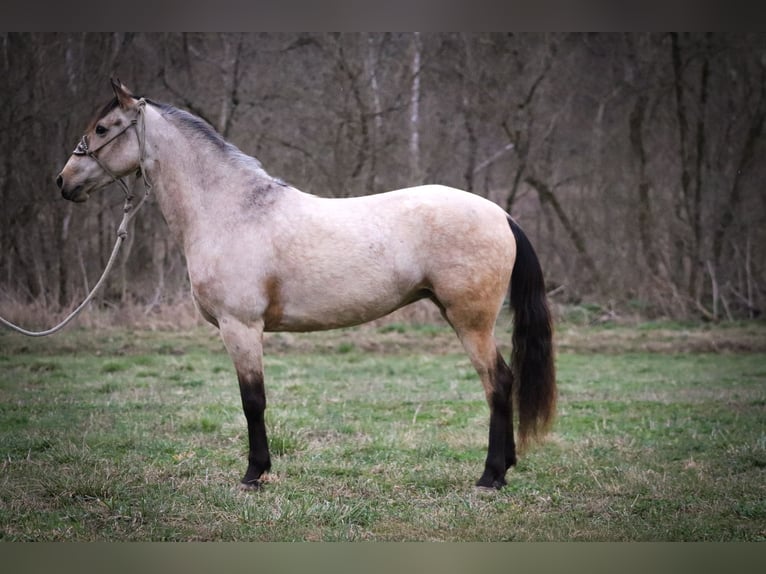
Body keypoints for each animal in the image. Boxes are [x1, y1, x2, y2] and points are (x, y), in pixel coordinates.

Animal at [55, 80, 560, 496]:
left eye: (102, 128)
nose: (63, 182)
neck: (231, 210)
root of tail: (501, 215)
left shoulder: (240, 327)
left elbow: (253, 401)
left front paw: (255, 474)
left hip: (470, 321)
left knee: (498, 383)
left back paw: (490, 476)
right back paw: (505, 467)